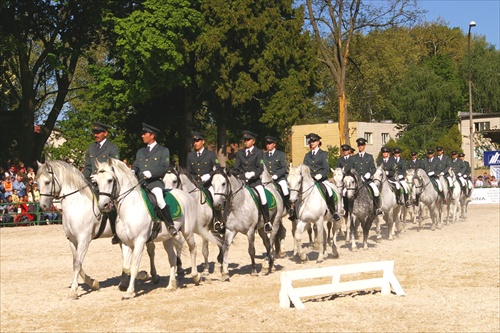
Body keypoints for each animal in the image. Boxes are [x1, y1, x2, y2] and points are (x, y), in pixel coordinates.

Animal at [36, 159, 153, 298]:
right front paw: (93, 283)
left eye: (47, 182)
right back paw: (125, 283)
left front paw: (73, 291)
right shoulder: (72, 240)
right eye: (37, 182)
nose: (43, 206)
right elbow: (76, 263)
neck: (76, 203)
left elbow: (78, 264)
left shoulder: (84, 239)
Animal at [94, 158, 220, 298]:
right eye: (96, 182)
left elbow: (133, 266)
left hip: (187, 232)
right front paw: (144, 275)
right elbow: (126, 266)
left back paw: (196, 276)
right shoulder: (126, 243)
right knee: (172, 258)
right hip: (168, 237)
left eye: (110, 180)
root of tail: (186, 195)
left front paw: (130, 291)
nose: (103, 205)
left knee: (193, 249)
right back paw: (171, 285)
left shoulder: (140, 242)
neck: (130, 207)